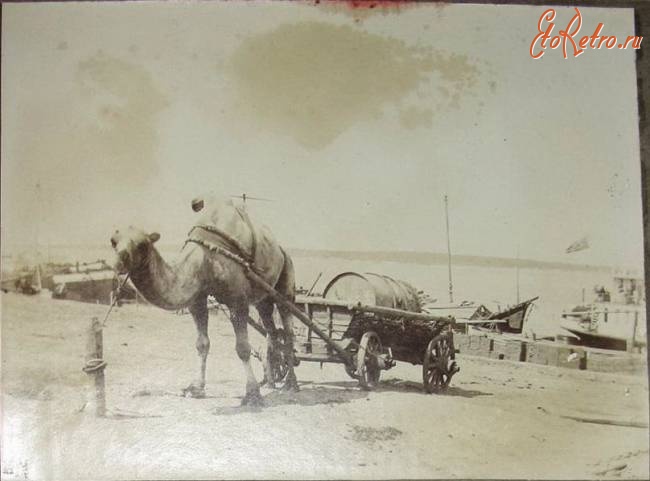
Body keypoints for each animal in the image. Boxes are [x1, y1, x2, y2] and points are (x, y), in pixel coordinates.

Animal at [110, 193, 298, 404]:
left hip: (286, 277)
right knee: (271, 331)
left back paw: (291, 384)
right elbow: (202, 344)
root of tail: (281, 250)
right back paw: (271, 382)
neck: (205, 258)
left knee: (288, 331)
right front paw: (195, 388)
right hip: (263, 298)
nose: (118, 263)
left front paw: (252, 394)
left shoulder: (238, 301)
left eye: (142, 244)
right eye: (113, 241)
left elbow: (242, 348)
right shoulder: (197, 300)